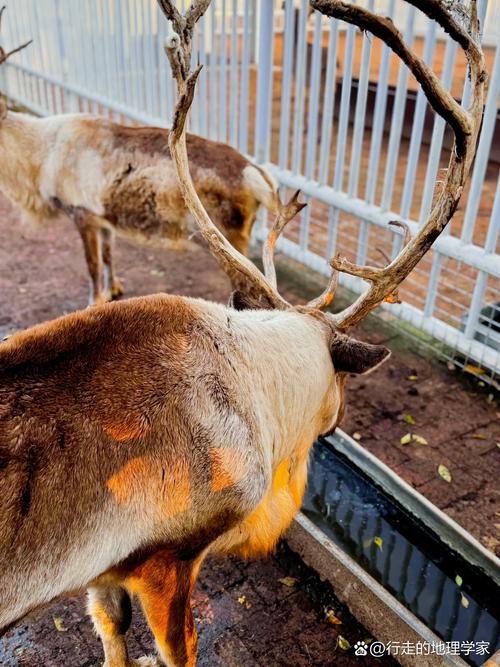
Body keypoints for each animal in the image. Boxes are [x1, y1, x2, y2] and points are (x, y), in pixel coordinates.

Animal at [0, 6, 278, 307]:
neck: (41, 157)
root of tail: (255, 173)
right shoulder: (103, 219)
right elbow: (108, 256)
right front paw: (114, 290)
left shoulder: (81, 214)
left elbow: (92, 266)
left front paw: (93, 302)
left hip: (229, 245)